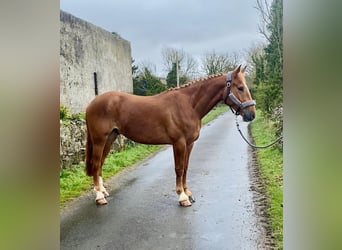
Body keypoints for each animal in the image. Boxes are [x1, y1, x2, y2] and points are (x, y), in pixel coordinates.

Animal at [85, 65, 256, 206]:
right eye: (240, 88)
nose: (251, 114)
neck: (188, 105)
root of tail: (92, 104)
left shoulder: (189, 143)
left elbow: (186, 167)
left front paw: (188, 193)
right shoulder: (179, 143)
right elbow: (179, 168)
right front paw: (182, 197)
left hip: (110, 138)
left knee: (100, 164)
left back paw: (103, 191)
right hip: (99, 140)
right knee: (96, 164)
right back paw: (99, 196)